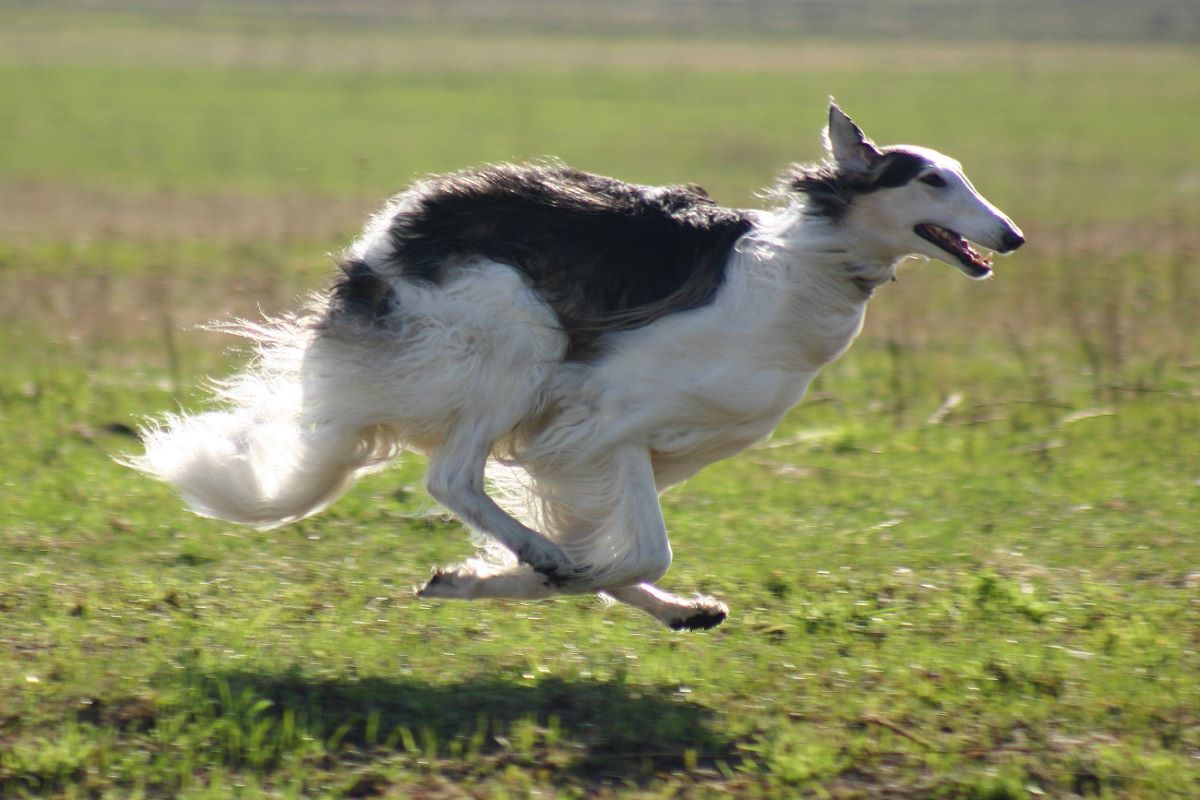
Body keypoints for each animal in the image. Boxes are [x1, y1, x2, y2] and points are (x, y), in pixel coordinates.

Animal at [136, 103, 1027, 633]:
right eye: (931, 178)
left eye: (962, 174)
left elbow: (622, 553)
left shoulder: (639, 450)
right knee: (452, 477)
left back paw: (657, 603)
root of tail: (379, 251)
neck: (804, 269)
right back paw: (543, 560)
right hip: (515, 340)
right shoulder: (601, 418)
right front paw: (514, 576)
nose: (1013, 236)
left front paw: (500, 578)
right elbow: (632, 553)